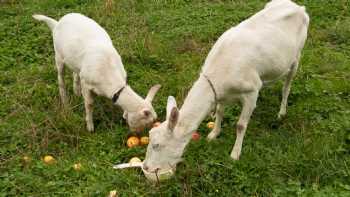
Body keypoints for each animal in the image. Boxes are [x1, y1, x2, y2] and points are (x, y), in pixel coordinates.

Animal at [32, 13, 161, 132]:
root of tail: (58, 22)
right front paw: (90, 127)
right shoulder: (86, 83)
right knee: (61, 78)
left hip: (75, 62)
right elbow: (89, 104)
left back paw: (76, 92)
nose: (136, 133)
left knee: (75, 73)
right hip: (58, 55)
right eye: (148, 122)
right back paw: (65, 101)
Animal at [142, 0, 308, 175]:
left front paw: (235, 154)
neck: (221, 73)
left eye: (157, 145)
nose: (146, 167)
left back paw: (281, 112)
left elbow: (241, 125)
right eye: (150, 136)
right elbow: (221, 111)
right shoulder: (221, 94)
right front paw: (213, 134)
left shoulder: (251, 90)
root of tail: (298, 7)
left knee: (287, 86)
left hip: (297, 56)